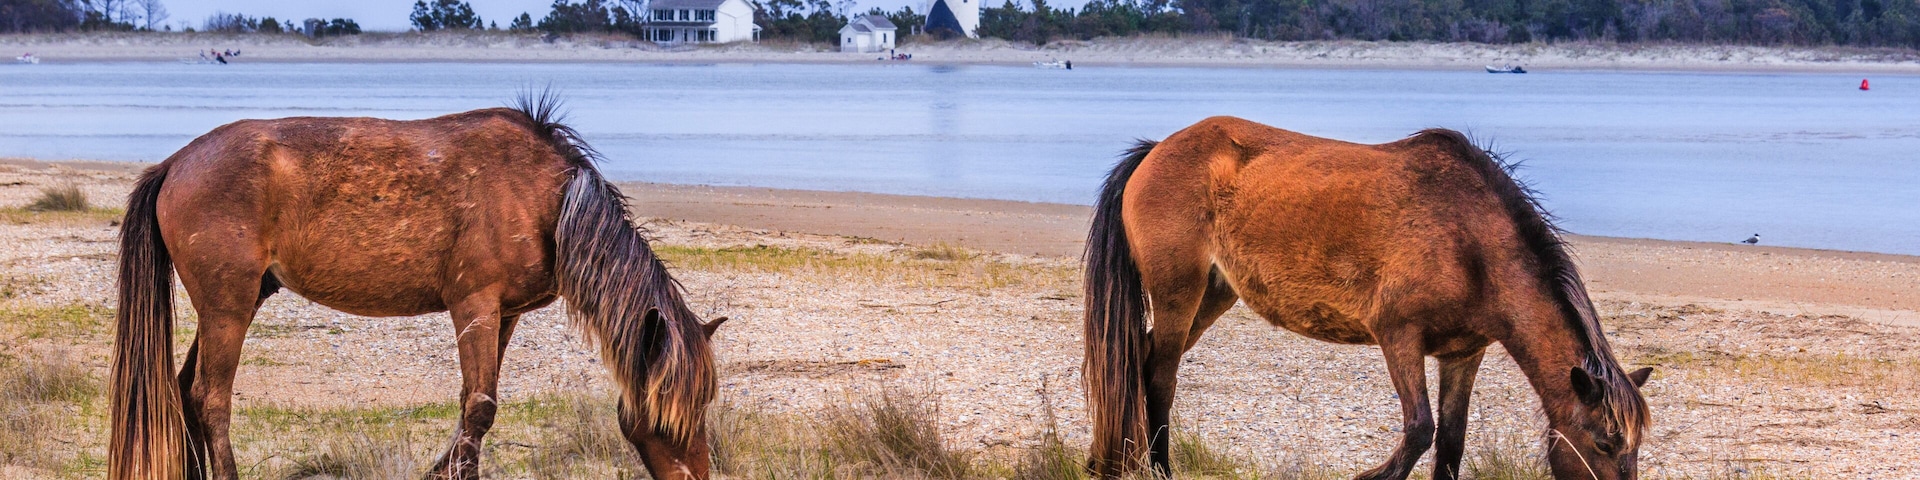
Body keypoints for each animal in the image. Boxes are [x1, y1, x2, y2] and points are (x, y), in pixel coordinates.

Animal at [109, 94, 726, 480]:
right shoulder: (473, 304)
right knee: (209, 398)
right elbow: (480, 408)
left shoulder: (504, 314)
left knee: (183, 390)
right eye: (672, 406)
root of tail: (177, 162)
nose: (695, 476)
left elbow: (474, 404)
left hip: (235, 303)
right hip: (228, 307)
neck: (548, 197)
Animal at [1082, 117, 1653, 480]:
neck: (1469, 239)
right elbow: (1420, 431)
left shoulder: (1462, 355)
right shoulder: (1398, 337)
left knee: (1141, 359)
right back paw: (1158, 467)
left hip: (1213, 295)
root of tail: (1156, 150)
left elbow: (1450, 441)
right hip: (1177, 294)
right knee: (1160, 375)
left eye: (1634, 448)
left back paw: (1106, 461)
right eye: (1604, 443)